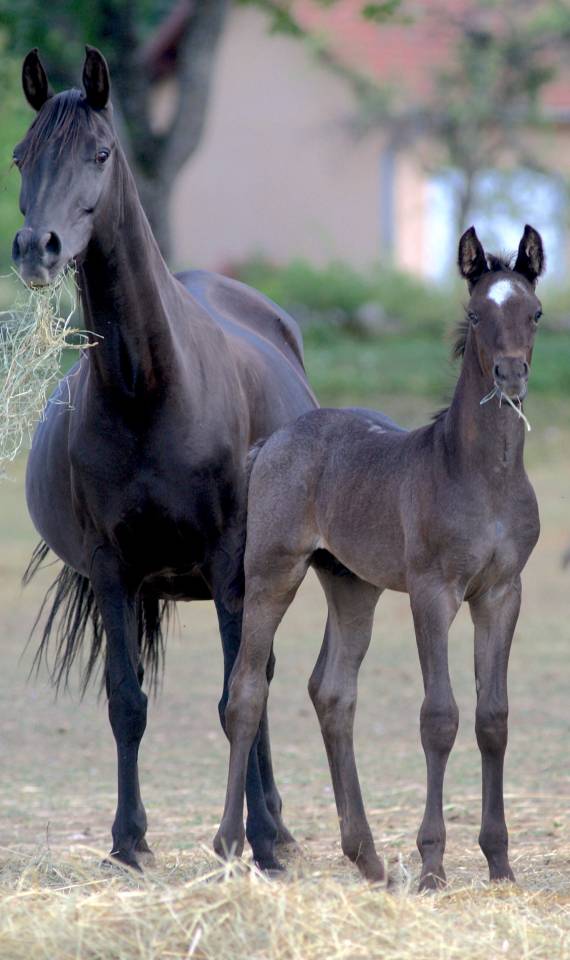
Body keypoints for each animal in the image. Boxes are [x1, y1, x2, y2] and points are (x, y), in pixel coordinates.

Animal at [12, 47, 317, 871]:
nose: (36, 250)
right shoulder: (114, 569)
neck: (150, 389)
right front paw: (129, 842)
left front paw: (254, 842)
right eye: (21, 156)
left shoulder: (226, 561)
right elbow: (127, 701)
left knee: (258, 681)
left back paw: (275, 828)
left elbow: (239, 698)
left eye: (100, 153)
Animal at [215, 225, 544, 890]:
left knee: (333, 693)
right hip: (272, 573)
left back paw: (365, 856)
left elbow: (492, 718)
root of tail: (273, 441)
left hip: (351, 586)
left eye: (536, 313)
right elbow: (439, 717)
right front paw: (433, 864)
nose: (510, 374)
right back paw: (233, 846)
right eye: (476, 313)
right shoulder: (432, 592)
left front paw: (499, 863)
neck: (482, 476)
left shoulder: (502, 592)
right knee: (246, 693)